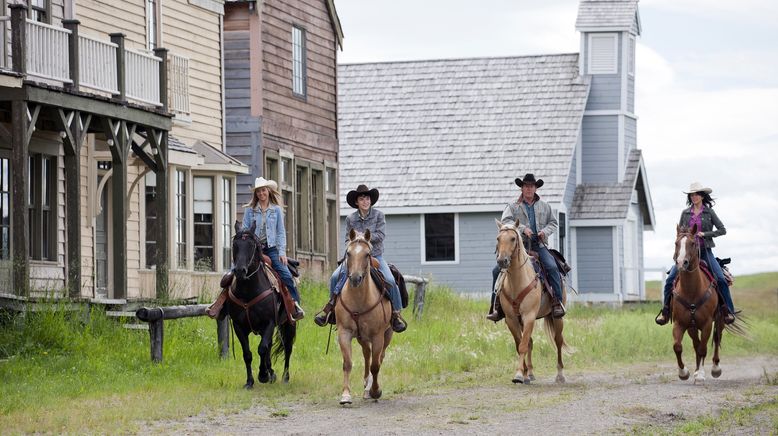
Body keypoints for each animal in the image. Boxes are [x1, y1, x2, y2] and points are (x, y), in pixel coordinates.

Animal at [227, 221, 298, 388]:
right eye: (235, 244)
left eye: (252, 245)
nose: (240, 270)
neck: (248, 291)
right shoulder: (239, 326)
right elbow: (247, 353)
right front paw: (250, 381)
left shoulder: (269, 322)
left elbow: (262, 348)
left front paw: (263, 375)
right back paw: (271, 371)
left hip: (289, 323)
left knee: (287, 348)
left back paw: (285, 377)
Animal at [334, 228, 394, 406]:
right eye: (348, 253)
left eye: (367, 254)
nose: (355, 278)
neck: (359, 300)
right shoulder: (344, 332)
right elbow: (347, 363)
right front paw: (346, 395)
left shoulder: (377, 336)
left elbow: (376, 365)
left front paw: (375, 391)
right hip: (361, 337)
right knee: (367, 353)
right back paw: (366, 386)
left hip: (387, 335)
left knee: (379, 358)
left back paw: (369, 389)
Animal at [494, 220, 568, 384]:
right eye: (498, 238)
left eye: (513, 239)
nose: (502, 261)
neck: (517, 282)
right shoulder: (511, 319)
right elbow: (520, 344)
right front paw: (523, 373)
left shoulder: (529, 316)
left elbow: (522, 345)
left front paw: (518, 375)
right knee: (530, 342)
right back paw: (530, 374)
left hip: (557, 318)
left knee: (558, 340)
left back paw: (560, 374)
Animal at [668, 223, 720, 384]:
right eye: (676, 243)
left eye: (692, 243)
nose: (681, 263)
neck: (691, 291)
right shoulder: (680, 323)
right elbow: (677, 346)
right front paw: (684, 373)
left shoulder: (707, 324)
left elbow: (703, 348)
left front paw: (701, 374)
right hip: (692, 327)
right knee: (696, 344)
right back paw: (696, 371)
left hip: (720, 320)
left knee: (717, 339)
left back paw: (715, 368)